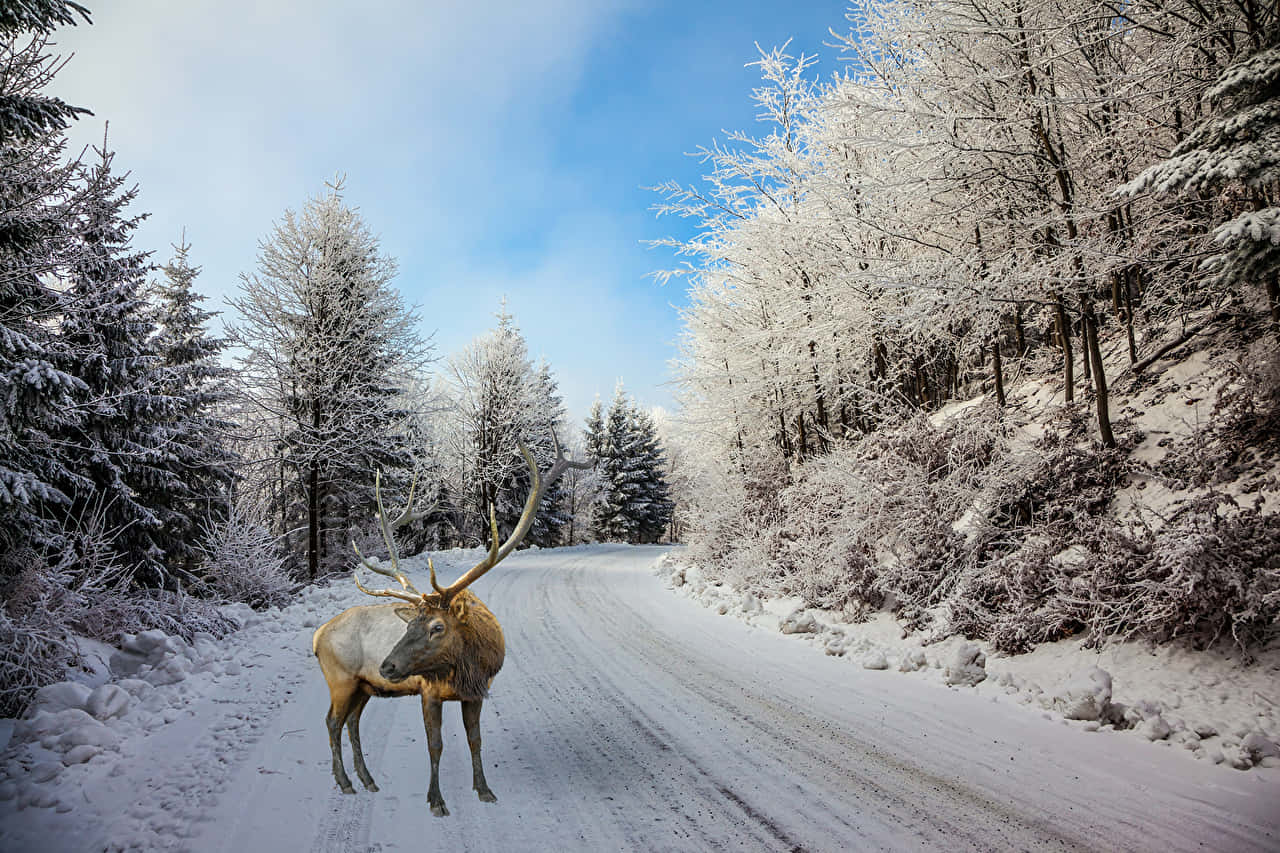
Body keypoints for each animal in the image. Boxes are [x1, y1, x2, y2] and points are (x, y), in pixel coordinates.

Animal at [312, 435, 589, 816]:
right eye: (410, 624)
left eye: (437, 627)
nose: (387, 666)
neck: (465, 667)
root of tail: (317, 636)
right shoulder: (428, 691)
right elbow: (436, 745)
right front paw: (436, 800)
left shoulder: (478, 691)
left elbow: (475, 740)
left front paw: (484, 790)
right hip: (340, 678)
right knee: (332, 722)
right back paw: (344, 782)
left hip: (363, 686)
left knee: (351, 722)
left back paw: (367, 780)